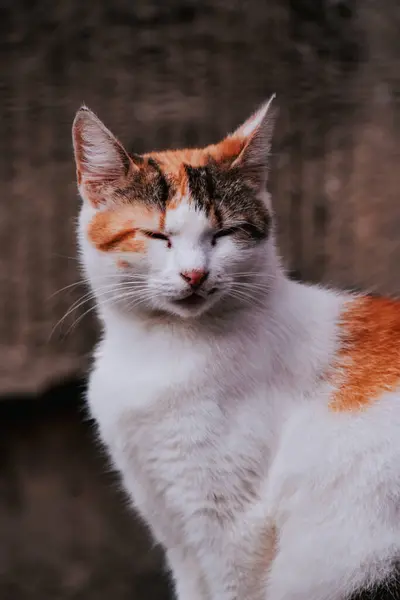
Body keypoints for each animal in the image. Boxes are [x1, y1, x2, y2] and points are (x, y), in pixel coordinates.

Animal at [71, 98, 400, 600]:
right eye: (157, 236)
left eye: (223, 235)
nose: (194, 274)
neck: (159, 349)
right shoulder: (173, 525)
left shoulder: (232, 526)